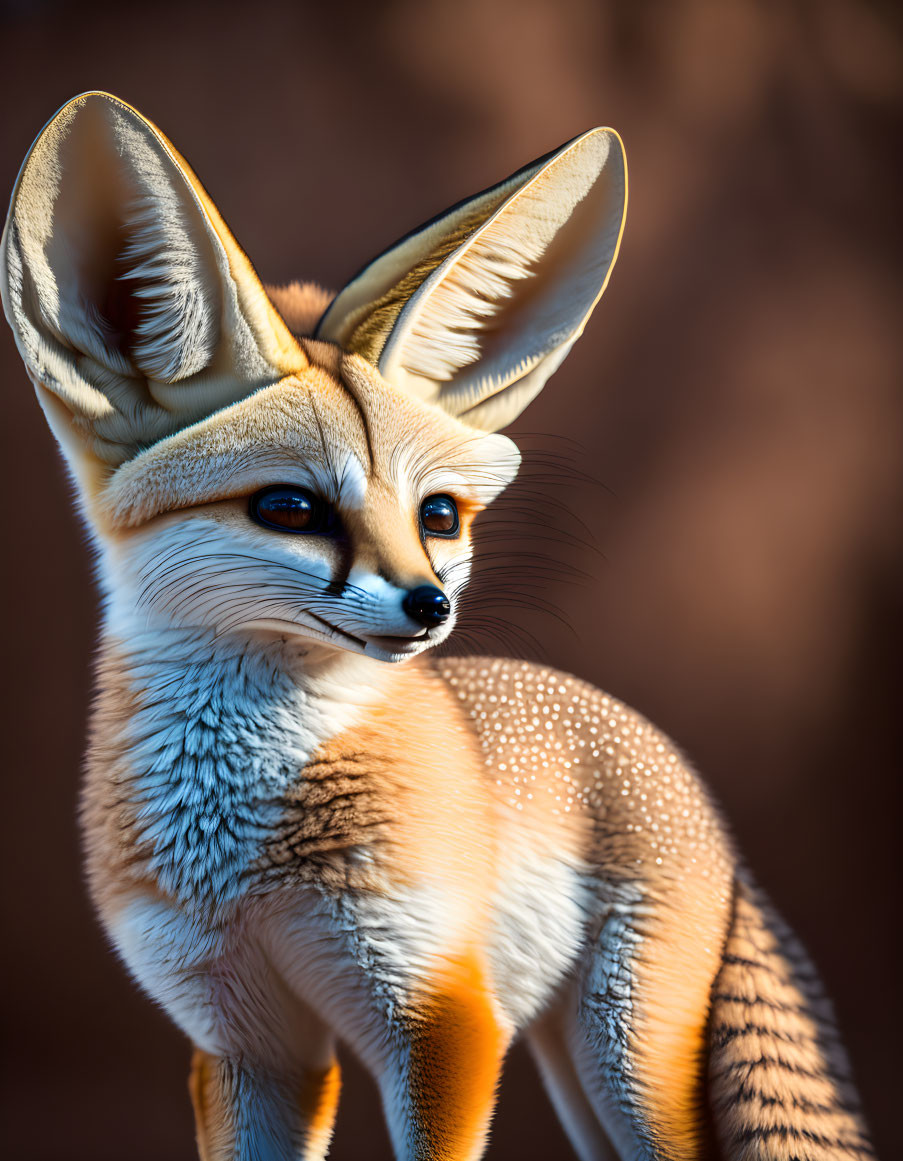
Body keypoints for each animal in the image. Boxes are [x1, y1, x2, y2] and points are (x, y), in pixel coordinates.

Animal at [0, 90, 872, 1161]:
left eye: (439, 516)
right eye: (289, 508)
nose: (430, 605)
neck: (244, 857)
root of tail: (684, 777)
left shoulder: (442, 1016)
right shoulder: (244, 1040)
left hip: (623, 1056)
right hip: (569, 1062)